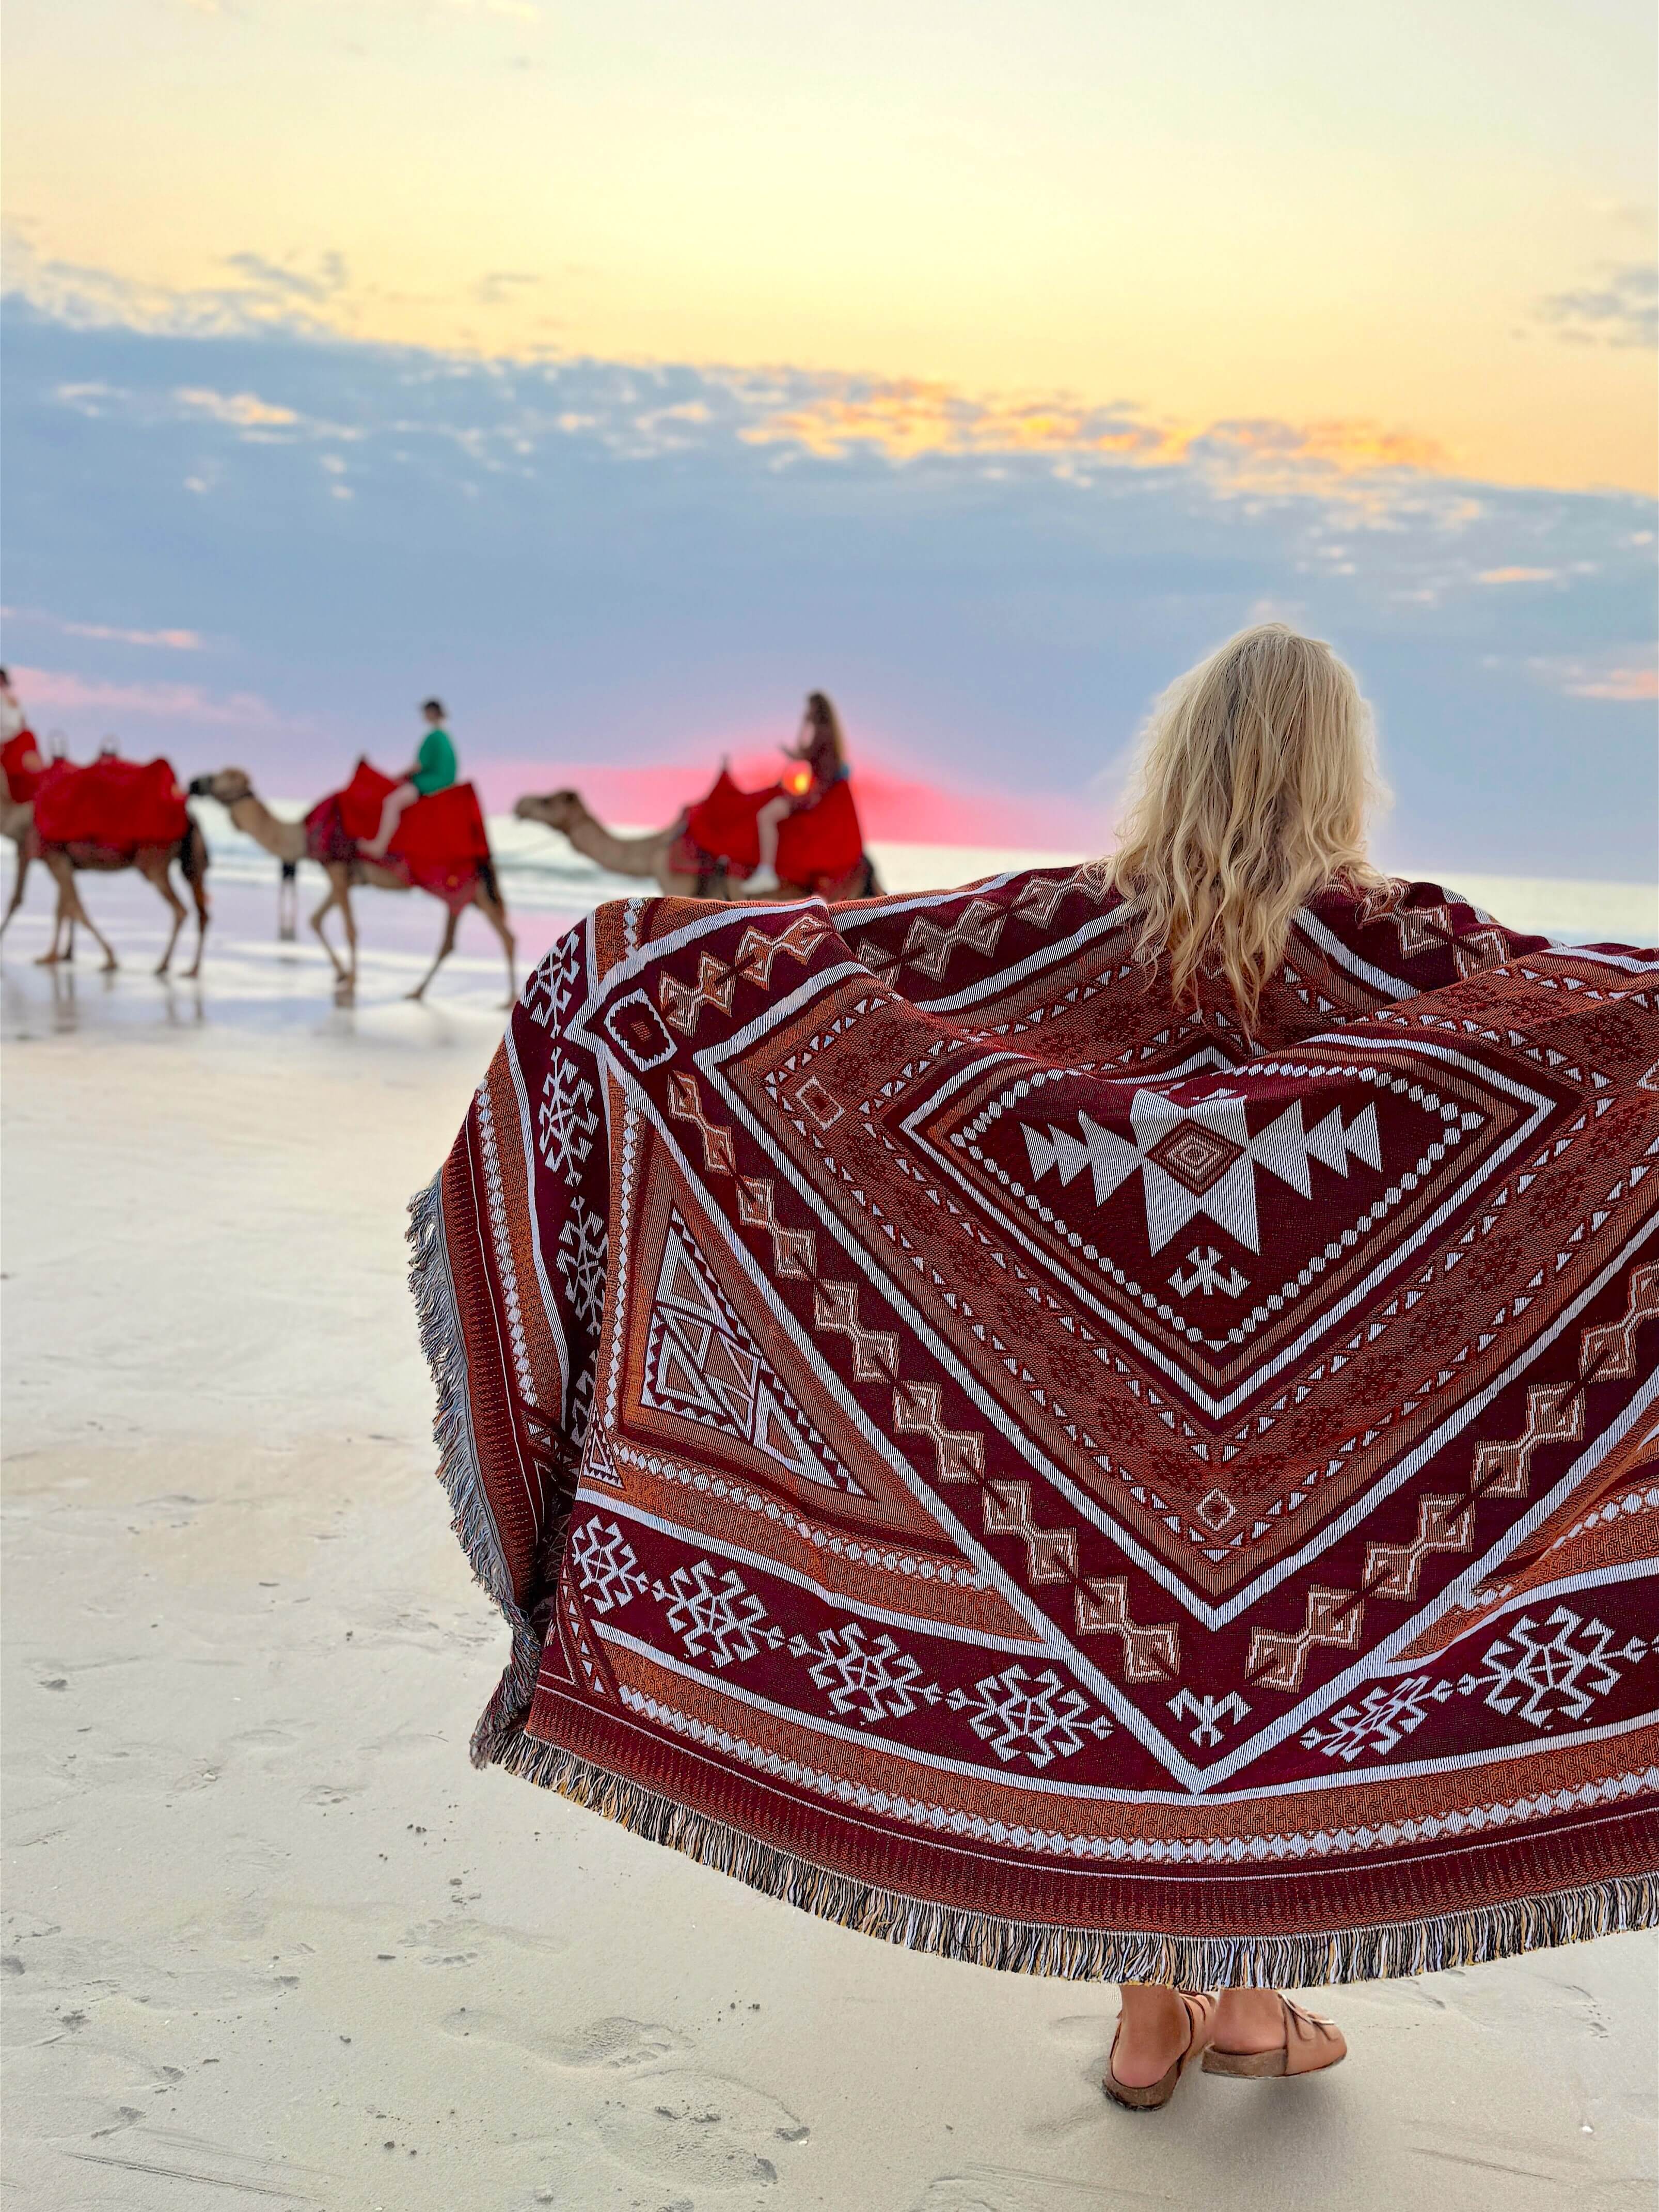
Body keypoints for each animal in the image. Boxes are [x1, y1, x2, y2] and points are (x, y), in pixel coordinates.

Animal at [24, 752, 211, 977]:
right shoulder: (64, 864)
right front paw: (59, 956)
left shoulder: (57, 861)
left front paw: (107, 959)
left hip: (155, 864)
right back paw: (190, 968)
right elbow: (64, 908)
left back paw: (164, 965)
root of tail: (190, 818)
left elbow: (73, 908)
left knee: (182, 910)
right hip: (190, 866)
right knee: (203, 913)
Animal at [190, 761, 513, 1004]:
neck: (303, 835)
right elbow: (316, 920)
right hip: (465, 891)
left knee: (505, 936)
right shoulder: (344, 877)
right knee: (450, 942)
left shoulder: (337, 870)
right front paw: (343, 975)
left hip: (472, 887)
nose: (195, 782)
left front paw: (351, 981)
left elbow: (349, 929)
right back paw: (417, 992)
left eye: (227, 776)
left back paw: (507, 1000)